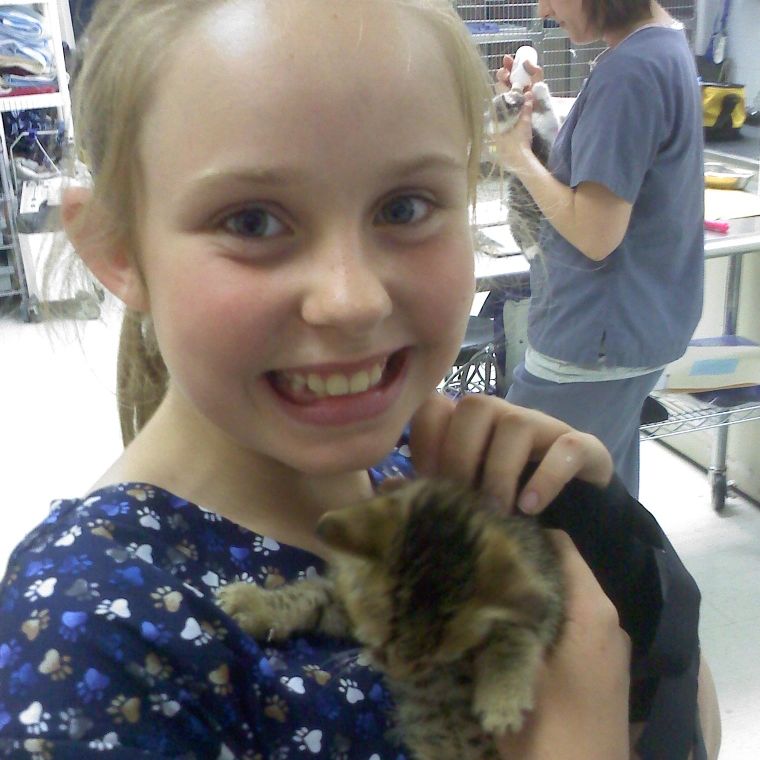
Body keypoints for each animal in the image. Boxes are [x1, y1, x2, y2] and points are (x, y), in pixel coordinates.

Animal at [217, 478, 560, 756]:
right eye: (383, 642)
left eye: (428, 659)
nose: (399, 671)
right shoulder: (345, 604)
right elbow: (309, 596)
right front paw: (255, 604)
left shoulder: (543, 592)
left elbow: (513, 637)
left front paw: (503, 699)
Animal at [486, 83, 560, 260]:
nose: (520, 95)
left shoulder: (548, 134)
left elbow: (548, 113)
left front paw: (538, 88)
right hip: (515, 213)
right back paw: (532, 249)